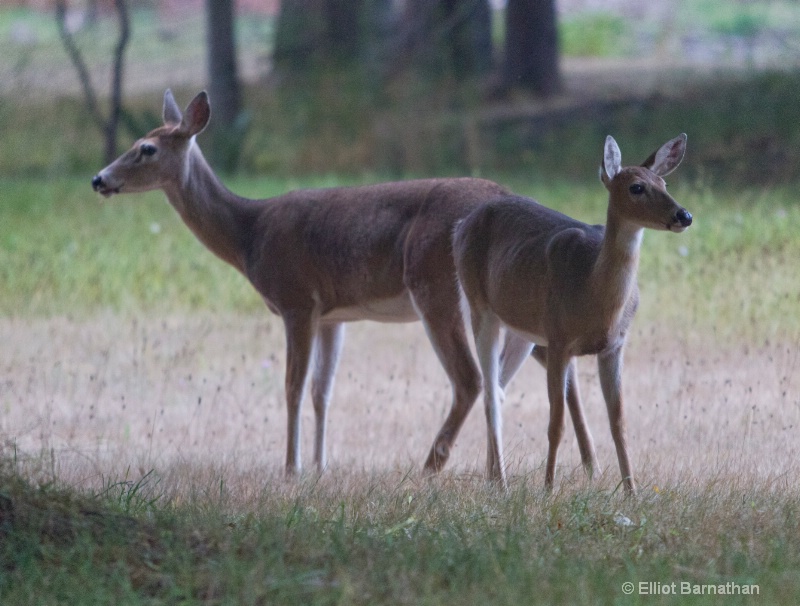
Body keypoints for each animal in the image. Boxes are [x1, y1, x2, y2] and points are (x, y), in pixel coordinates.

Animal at [92, 90, 524, 480]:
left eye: (146, 148)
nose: (99, 179)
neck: (249, 234)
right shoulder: (333, 314)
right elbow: (322, 390)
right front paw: (320, 467)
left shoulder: (296, 298)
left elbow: (293, 387)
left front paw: (291, 469)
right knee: (497, 381)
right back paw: (493, 474)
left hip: (434, 286)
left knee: (469, 379)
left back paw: (432, 467)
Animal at [454, 134, 692, 494]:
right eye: (636, 187)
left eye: (664, 182)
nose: (684, 215)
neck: (591, 293)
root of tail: (461, 225)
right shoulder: (559, 339)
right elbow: (556, 423)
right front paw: (548, 488)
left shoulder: (615, 346)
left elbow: (619, 421)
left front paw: (631, 492)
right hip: (480, 306)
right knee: (490, 393)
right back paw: (504, 484)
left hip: (523, 330)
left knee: (498, 386)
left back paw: (494, 478)